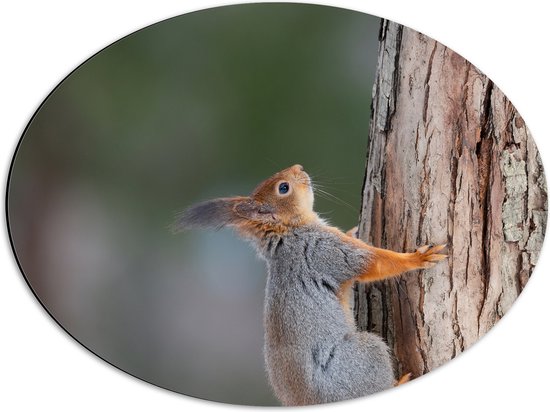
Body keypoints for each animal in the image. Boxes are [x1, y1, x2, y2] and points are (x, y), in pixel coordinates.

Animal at [175, 164, 450, 406]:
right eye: (283, 188)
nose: (299, 167)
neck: (287, 232)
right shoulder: (324, 251)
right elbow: (376, 263)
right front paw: (417, 259)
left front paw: (353, 229)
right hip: (363, 358)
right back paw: (399, 383)